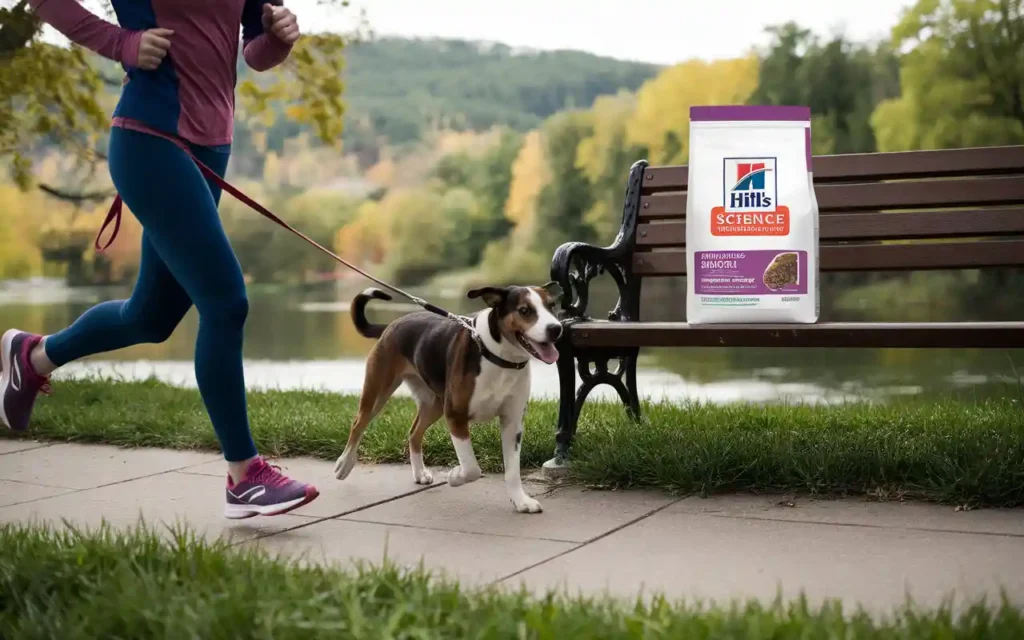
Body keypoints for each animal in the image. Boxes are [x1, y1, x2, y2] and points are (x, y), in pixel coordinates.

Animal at [333, 282, 561, 512]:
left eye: (552, 306)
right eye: (524, 310)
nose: (556, 328)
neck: (497, 357)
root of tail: (392, 324)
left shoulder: (513, 422)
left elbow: (513, 471)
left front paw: (521, 501)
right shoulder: (455, 415)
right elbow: (471, 468)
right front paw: (455, 476)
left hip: (433, 403)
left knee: (414, 432)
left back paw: (419, 473)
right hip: (378, 391)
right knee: (358, 423)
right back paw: (344, 464)